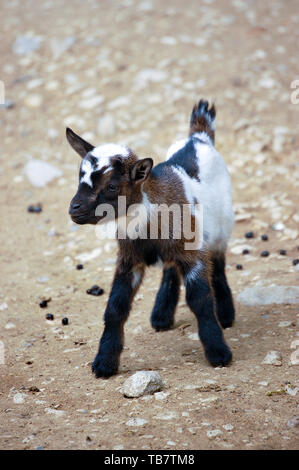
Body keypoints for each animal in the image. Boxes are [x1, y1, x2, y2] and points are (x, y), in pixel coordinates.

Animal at [67, 99, 236, 378]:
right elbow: (116, 306)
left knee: (219, 264)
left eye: (112, 186)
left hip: (222, 225)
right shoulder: (129, 259)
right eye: (80, 178)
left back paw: (226, 314)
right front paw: (104, 362)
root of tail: (199, 136)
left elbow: (200, 299)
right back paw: (161, 314)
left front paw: (219, 353)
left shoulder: (193, 253)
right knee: (170, 268)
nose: (74, 209)